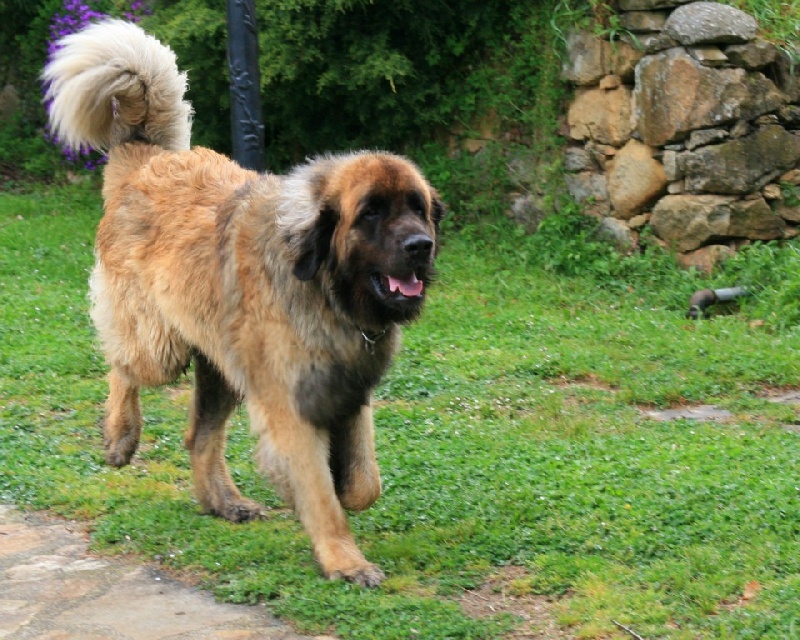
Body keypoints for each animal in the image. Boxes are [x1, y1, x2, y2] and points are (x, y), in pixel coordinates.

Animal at [42, 19, 444, 587]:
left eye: (417, 208)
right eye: (370, 213)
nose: (420, 246)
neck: (324, 290)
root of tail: (147, 158)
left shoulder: (348, 391)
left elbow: (364, 484)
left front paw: (343, 490)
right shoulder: (288, 407)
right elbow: (322, 495)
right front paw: (345, 560)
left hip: (223, 368)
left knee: (198, 436)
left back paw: (223, 501)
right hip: (162, 349)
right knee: (123, 366)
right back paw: (121, 436)